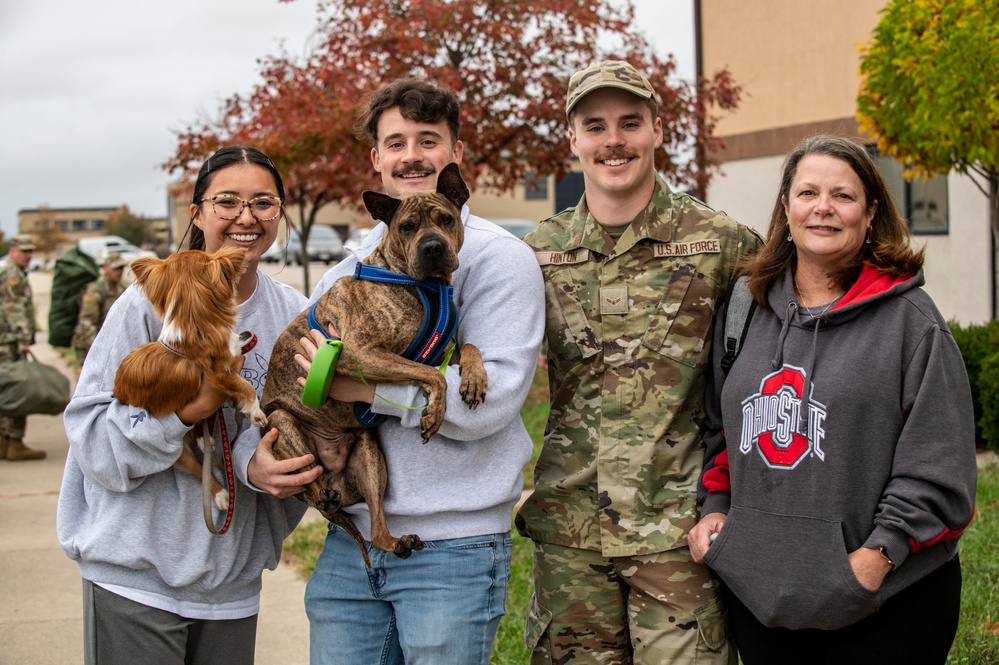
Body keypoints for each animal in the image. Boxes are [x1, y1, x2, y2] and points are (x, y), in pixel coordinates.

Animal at [112, 248, 266, 508]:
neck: (194, 328)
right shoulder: (221, 375)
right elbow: (247, 387)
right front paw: (255, 412)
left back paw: (207, 441)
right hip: (178, 454)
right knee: (197, 469)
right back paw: (221, 494)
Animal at [262, 162, 488, 564]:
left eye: (446, 220)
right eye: (407, 227)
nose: (433, 247)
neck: (422, 285)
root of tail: (334, 479)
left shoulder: (445, 351)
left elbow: (471, 348)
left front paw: (474, 379)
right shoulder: (359, 352)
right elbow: (431, 374)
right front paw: (435, 413)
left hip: (369, 458)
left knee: (376, 529)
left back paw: (395, 540)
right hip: (283, 424)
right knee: (307, 481)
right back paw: (322, 493)